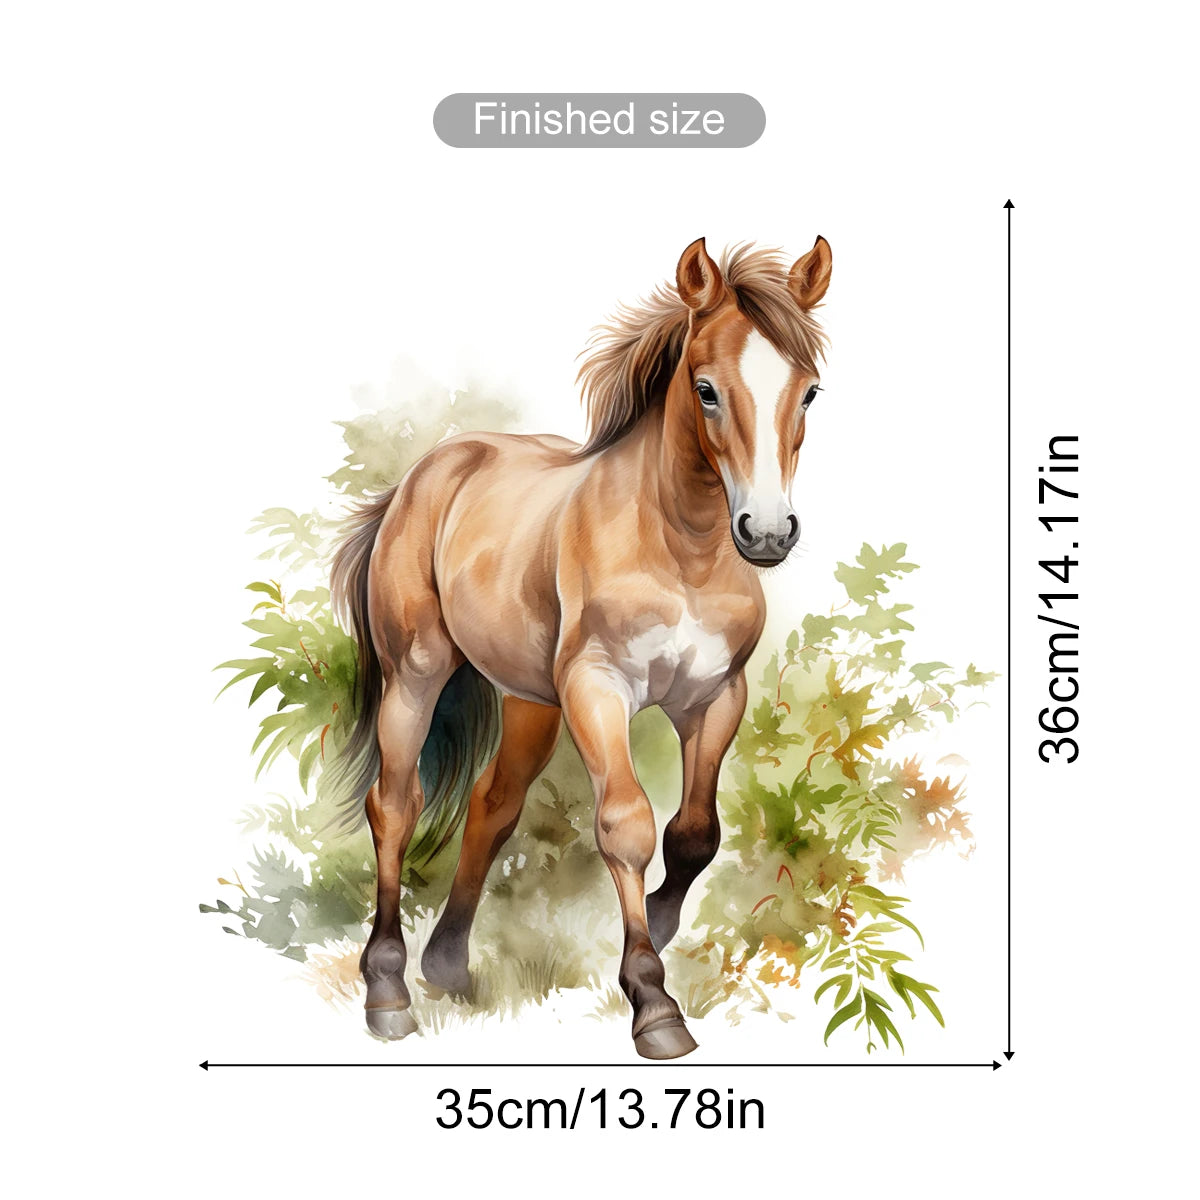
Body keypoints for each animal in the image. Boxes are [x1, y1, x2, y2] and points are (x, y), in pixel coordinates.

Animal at [329, 235, 832, 1059]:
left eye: (810, 392)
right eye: (706, 389)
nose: (766, 532)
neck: (682, 549)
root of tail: (425, 474)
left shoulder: (715, 698)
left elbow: (693, 834)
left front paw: (656, 926)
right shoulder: (599, 690)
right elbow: (626, 826)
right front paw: (653, 1002)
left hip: (530, 700)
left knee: (492, 804)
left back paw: (448, 965)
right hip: (417, 674)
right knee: (395, 805)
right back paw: (387, 988)